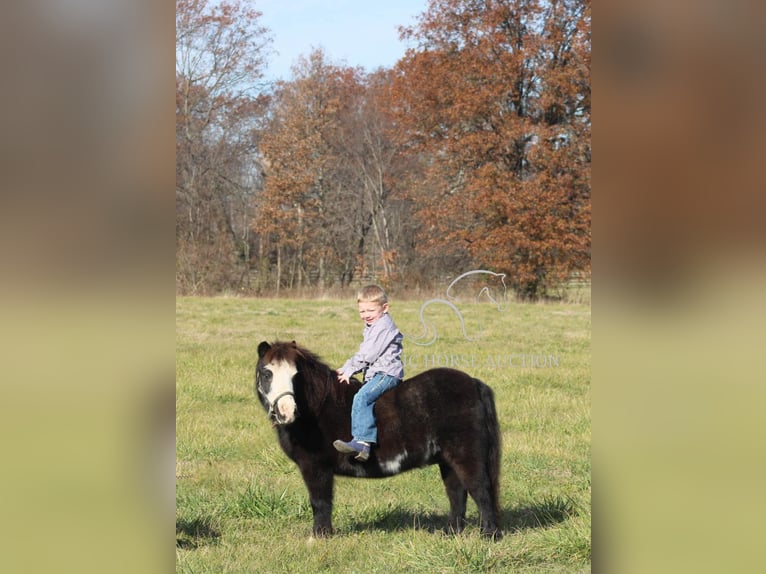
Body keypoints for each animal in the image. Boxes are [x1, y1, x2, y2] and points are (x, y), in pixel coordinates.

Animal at [254, 342, 504, 540]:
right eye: (267, 374)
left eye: (296, 376)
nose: (286, 412)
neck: (318, 408)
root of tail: (473, 383)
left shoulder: (315, 467)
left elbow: (320, 501)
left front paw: (319, 536)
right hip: (447, 460)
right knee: (457, 493)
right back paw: (451, 533)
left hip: (466, 456)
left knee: (480, 490)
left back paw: (489, 535)